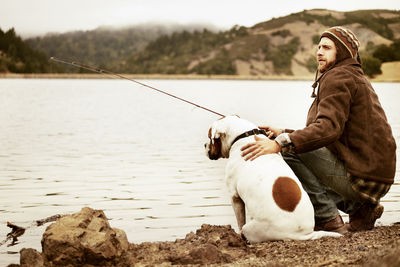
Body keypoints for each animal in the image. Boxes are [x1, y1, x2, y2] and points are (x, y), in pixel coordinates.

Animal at [205, 116, 342, 244]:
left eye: (210, 138)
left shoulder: (235, 197)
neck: (243, 135)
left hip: (251, 228)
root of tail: (302, 235)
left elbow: (239, 220)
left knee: (245, 230)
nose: (205, 145)